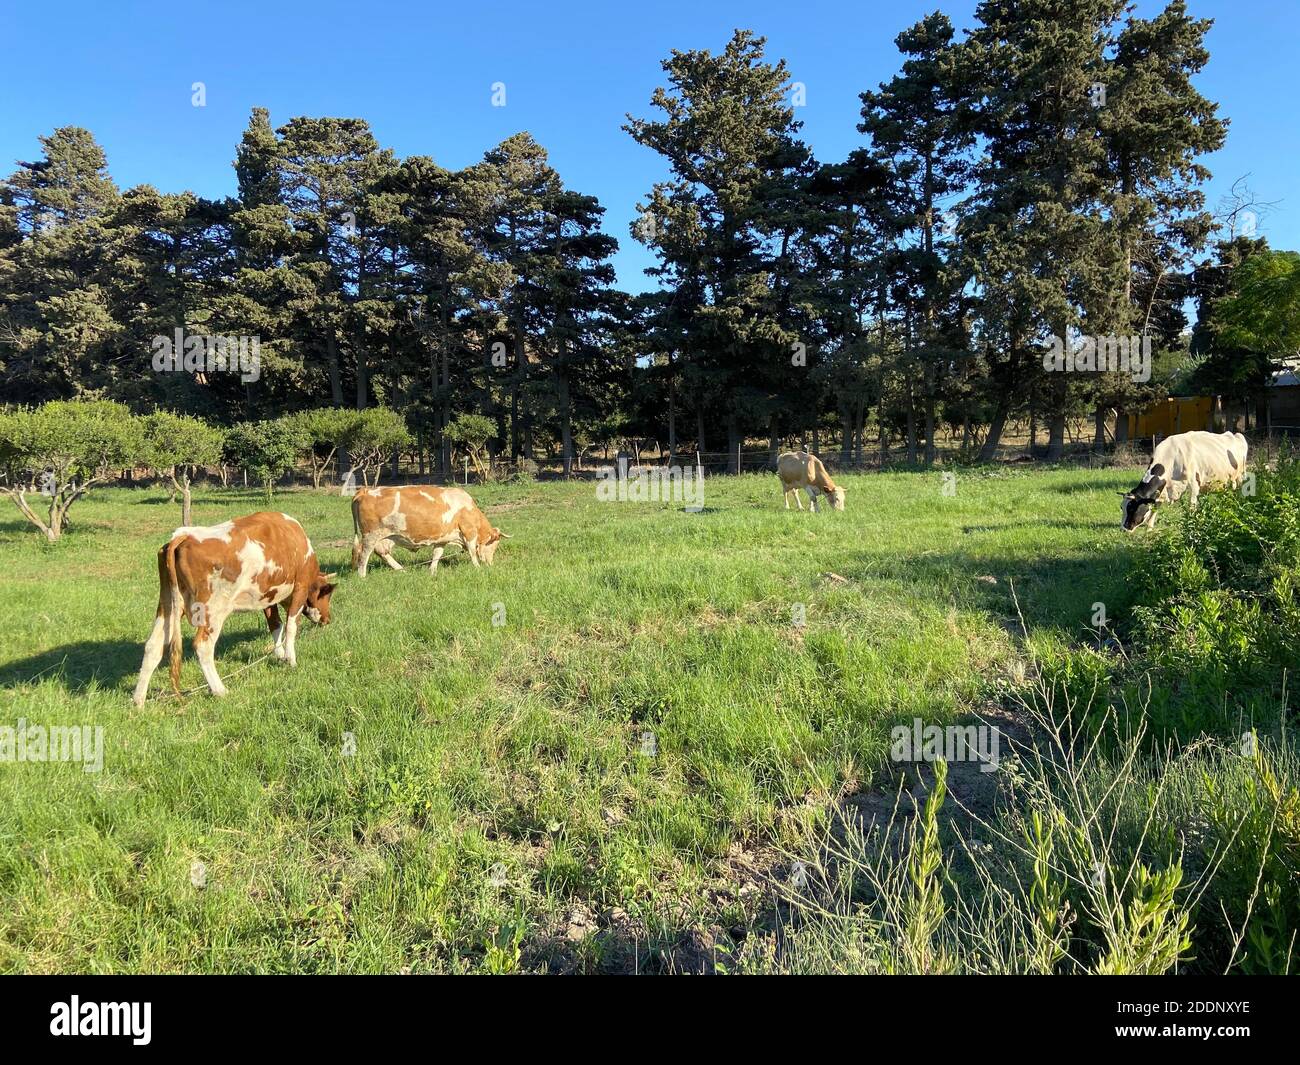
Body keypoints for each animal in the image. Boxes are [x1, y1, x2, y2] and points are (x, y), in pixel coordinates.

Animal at [130, 509, 335, 702]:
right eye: (327, 594)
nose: (328, 619)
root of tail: (184, 535)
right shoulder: (300, 586)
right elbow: (292, 626)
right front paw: (290, 659)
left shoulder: (268, 595)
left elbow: (275, 625)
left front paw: (278, 654)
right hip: (213, 610)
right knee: (202, 645)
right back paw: (220, 690)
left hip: (168, 605)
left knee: (153, 646)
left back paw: (138, 700)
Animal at [351, 486, 506, 579]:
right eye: (494, 545)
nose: (490, 563)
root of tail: (365, 491)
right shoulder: (469, 532)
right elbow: (473, 552)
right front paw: (478, 567)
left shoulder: (442, 539)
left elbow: (437, 554)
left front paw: (432, 571)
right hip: (370, 535)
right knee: (363, 555)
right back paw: (362, 576)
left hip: (385, 536)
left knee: (382, 552)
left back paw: (401, 570)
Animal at [1118, 429, 1248, 533]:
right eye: (1121, 507)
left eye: (1132, 508)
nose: (1123, 529)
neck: (1171, 456)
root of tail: (1235, 435)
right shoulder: (1162, 489)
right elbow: (1155, 507)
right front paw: (1149, 528)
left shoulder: (1194, 485)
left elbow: (1191, 506)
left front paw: (1191, 525)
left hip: (1240, 476)